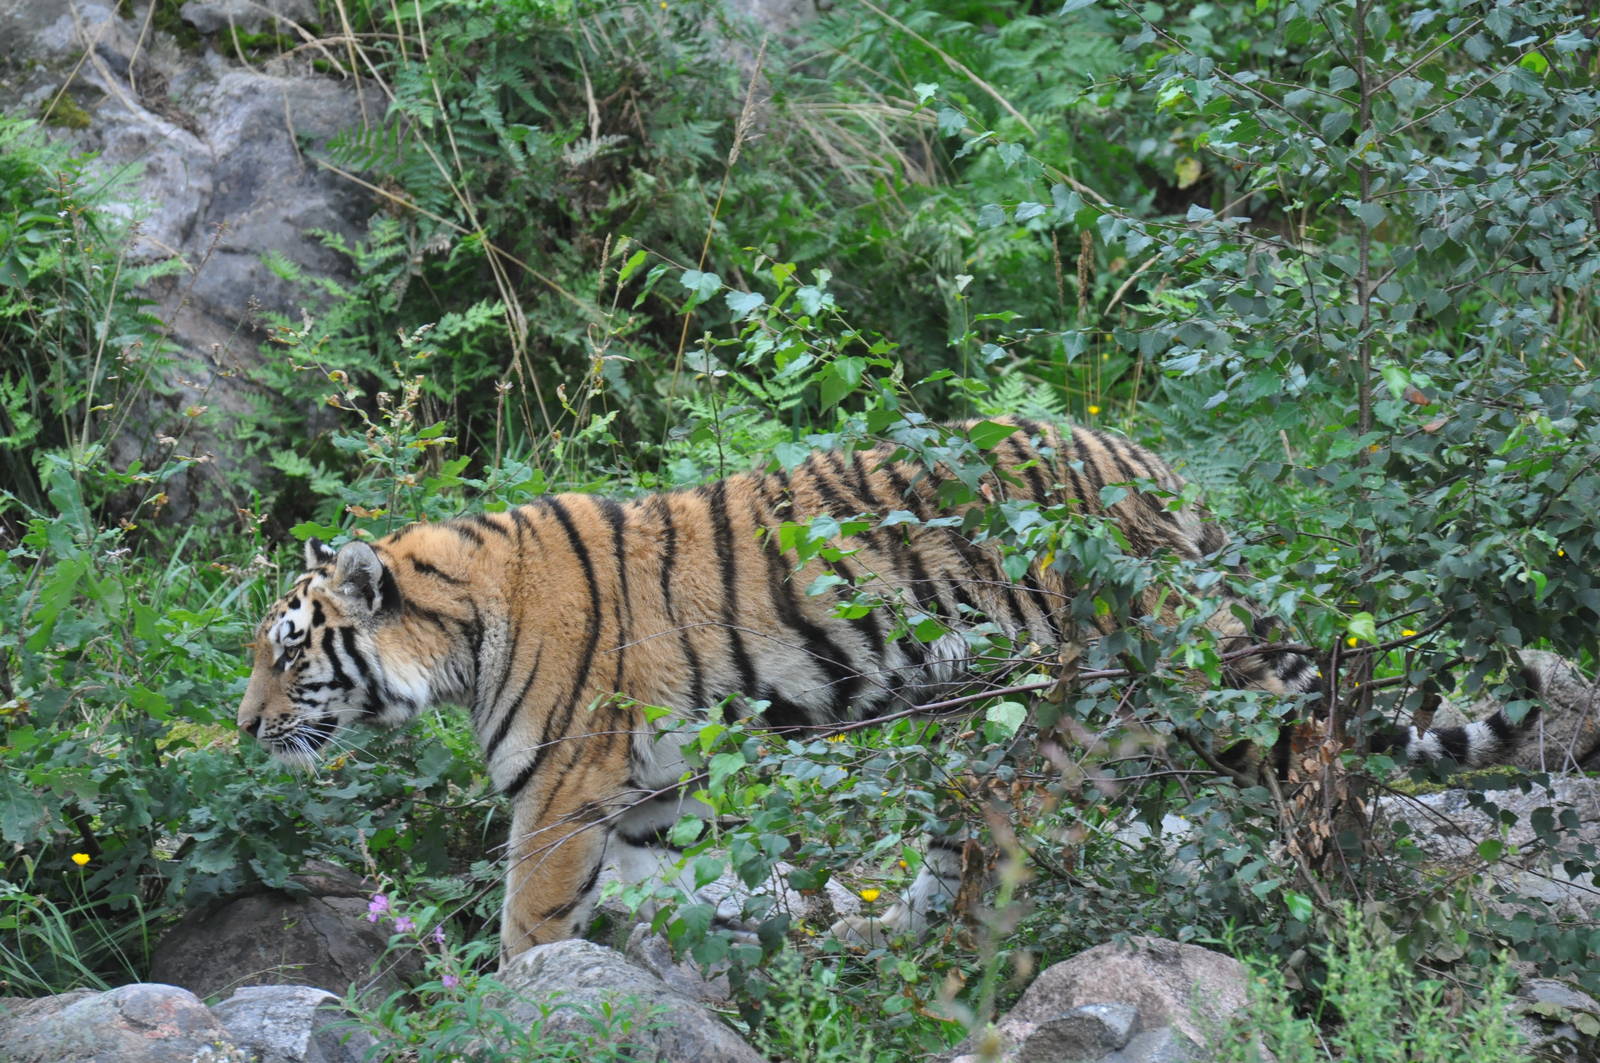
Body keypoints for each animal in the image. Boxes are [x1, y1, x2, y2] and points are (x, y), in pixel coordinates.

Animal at [236, 418, 1537, 958]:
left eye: (289, 651)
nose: (243, 729)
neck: (458, 629)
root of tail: (1159, 470)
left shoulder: (559, 798)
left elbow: (530, 921)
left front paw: (513, 1001)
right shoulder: (644, 799)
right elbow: (655, 902)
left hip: (1111, 706)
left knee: (1309, 781)